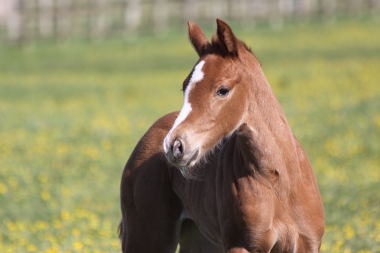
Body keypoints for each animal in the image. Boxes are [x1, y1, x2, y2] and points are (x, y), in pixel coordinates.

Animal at [119, 18, 324, 252]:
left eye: (223, 90)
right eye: (184, 87)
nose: (174, 146)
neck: (281, 182)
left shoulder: (308, 244)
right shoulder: (241, 245)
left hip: (200, 240)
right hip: (147, 238)